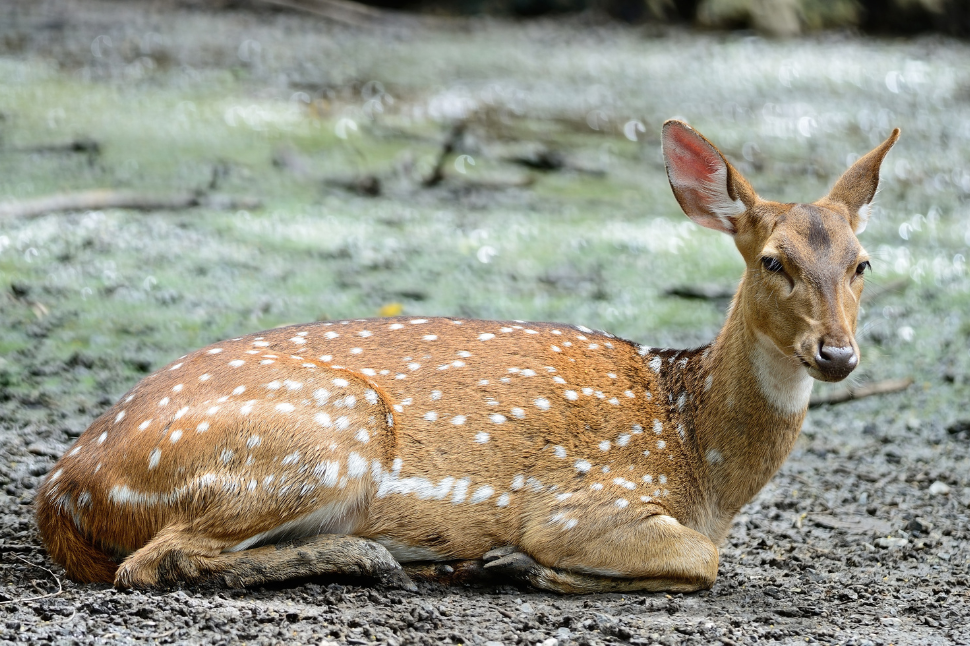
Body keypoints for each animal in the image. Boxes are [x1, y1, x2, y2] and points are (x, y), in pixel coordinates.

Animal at [36, 121, 899, 594]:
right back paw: (379, 557)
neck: (701, 463)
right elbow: (702, 562)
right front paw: (516, 565)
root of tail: (63, 490)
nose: (836, 353)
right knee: (152, 562)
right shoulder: (585, 502)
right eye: (773, 261)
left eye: (862, 263)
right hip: (322, 437)